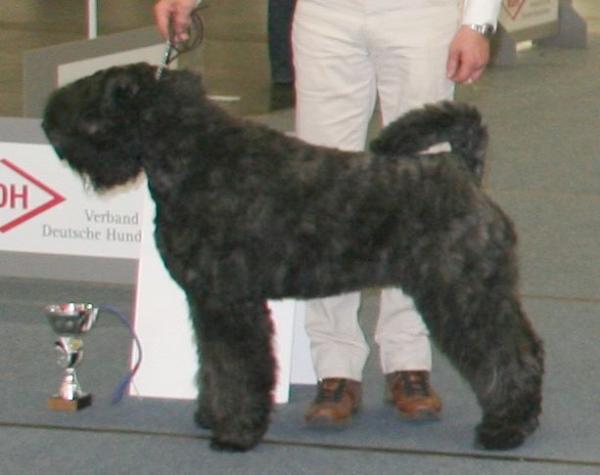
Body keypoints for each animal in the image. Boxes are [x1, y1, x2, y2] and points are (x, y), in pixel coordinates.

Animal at [43, 63, 544, 454]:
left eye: (90, 94)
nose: (49, 121)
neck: (196, 157)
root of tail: (464, 171)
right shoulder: (207, 302)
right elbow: (213, 363)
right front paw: (211, 414)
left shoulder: (228, 301)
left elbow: (238, 367)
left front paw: (236, 432)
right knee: (526, 347)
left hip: (463, 295)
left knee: (507, 355)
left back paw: (505, 427)